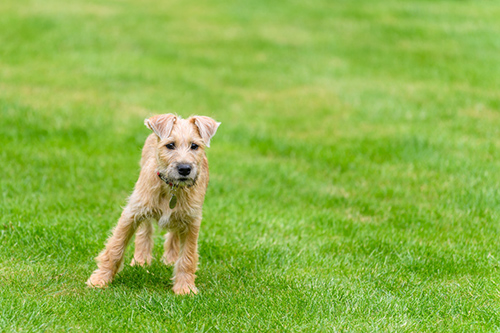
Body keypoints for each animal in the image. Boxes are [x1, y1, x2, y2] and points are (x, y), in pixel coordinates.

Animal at [87, 113, 220, 294]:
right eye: (170, 145)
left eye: (194, 146)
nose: (184, 169)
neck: (171, 188)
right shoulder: (132, 212)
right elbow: (115, 247)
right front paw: (100, 280)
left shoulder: (192, 221)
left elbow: (187, 257)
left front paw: (185, 288)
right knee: (145, 231)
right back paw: (141, 261)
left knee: (173, 235)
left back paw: (170, 259)